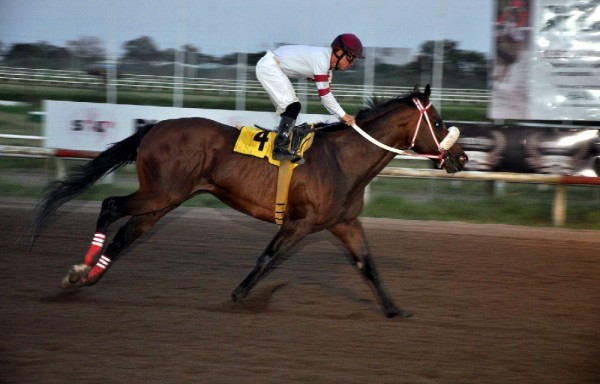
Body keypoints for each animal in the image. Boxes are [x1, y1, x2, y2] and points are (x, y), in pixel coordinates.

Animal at [29, 84, 468, 318]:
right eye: (439, 122)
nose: (461, 159)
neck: (344, 160)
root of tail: (155, 127)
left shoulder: (344, 223)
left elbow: (368, 266)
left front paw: (395, 309)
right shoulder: (300, 223)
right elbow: (267, 258)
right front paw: (241, 295)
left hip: (164, 200)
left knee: (127, 234)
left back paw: (87, 277)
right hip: (161, 192)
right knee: (109, 207)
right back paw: (78, 271)